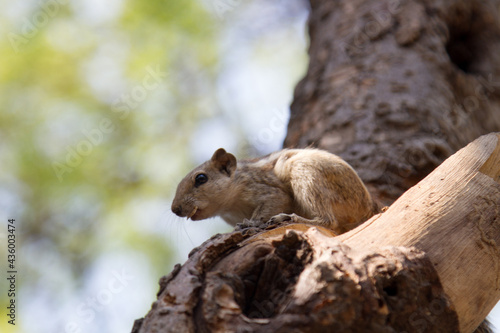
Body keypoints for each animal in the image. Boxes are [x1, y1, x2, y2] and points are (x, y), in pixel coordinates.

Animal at [172, 147, 378, 235]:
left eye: (201, 178)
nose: (175, 209)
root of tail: (367, 207)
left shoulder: (267, 191)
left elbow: (274, 202)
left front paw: (251, 223)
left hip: (306, 173)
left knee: (329, 221)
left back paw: (289, 218)